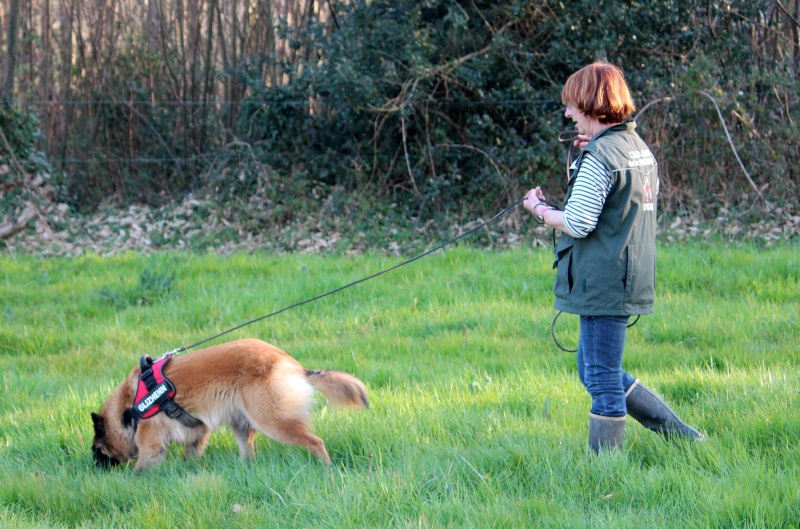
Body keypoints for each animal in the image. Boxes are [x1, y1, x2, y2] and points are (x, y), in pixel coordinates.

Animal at [91, 338, 368, 470]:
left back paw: (326, 468)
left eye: (96, 450)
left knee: (315, 442)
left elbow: (141, 467)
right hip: (242, 423)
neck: (131, 407)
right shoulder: (198, 431)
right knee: (249, 452)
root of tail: (290, 362)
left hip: (271, 421)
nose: (93, 467)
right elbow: (191, 455)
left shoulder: (150, 443)